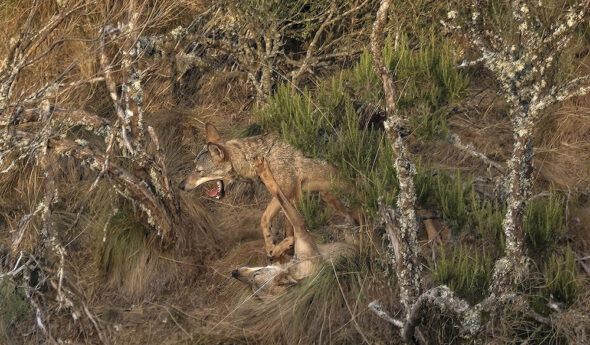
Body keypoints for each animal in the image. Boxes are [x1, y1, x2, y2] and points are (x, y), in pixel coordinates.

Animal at [178, 122, 358, 260]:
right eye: (194, 168)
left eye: (199, 171)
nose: (181, 186)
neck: (256, 157)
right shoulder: (287, 195)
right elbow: (270, 220)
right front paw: (276, 245)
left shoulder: (290, 192)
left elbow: (285, 223)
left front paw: (277, 248)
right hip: (328, 195)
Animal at [229, 157, 354, 294]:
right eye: (251, 286)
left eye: (256, 275)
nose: (233, 273)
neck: (295, 267)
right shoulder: (300, 227)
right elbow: (278, 194)